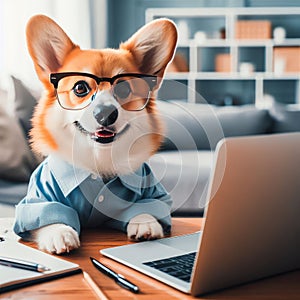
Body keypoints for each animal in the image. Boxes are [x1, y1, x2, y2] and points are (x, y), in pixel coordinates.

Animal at [13, 14, 178, 253]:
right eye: (80, 88)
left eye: (123, 89)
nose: (105, 114)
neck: (98, 158)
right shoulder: (39, 195)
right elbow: (47, 214)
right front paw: (60, 233)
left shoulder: (152, 188)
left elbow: (150, 205)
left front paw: (145, 222)